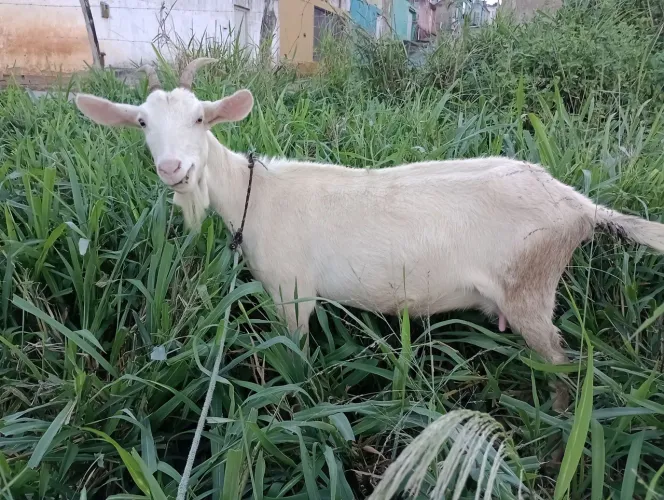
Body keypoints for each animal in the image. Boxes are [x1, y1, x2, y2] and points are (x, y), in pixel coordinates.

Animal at [74, 58, 664, 412]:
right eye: (143, 124)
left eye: (200, 118)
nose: (173, 168)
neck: (253, 192)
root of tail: (579, 205)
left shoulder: (291, 293)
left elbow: (296, 355)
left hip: (530, 288)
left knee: (561, 361)